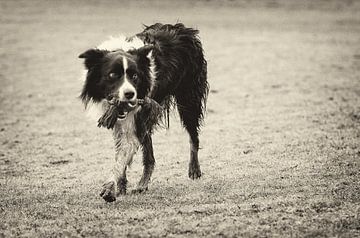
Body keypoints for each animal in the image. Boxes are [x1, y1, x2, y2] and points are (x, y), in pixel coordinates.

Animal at [79, 22, 208, 203]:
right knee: (150, 156)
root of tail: (183, 28)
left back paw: (194, 169)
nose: (129, 94)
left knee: (193, 137)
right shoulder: (121, 123)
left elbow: (121, 157)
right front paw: (120, 185)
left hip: (188, 100)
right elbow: (122, 154)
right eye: (112, 75)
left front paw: (110, 187)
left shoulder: (134, 119)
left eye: (134, 76)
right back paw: (143, 183)